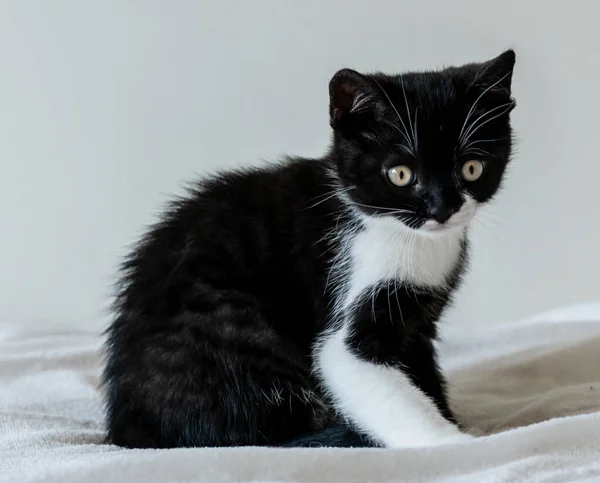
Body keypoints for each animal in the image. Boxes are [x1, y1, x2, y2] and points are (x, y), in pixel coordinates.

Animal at [103, 50, 516, 450]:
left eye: (472, 168)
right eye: (400, 175)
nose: (442, 209)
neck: (408, 237)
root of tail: (128, 427)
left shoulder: (419, 322)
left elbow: (424, 372)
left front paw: (449, 415)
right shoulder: (350, 304)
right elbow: (369, 379)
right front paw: (454, 442)